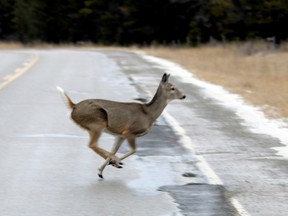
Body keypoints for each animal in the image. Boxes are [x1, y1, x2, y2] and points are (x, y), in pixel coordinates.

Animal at [57, 73, 186, 178]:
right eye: (172, 88)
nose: (184, 96)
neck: (149, 114)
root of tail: (74, 106)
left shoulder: (120, 135)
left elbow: (115, 149)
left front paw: (101, 171)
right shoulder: (129, 131)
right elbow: (134, 150)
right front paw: (116, 162)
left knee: (95, 145)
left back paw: (112, 163)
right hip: (97, 122)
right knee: (92, 144)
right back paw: (115, 161)